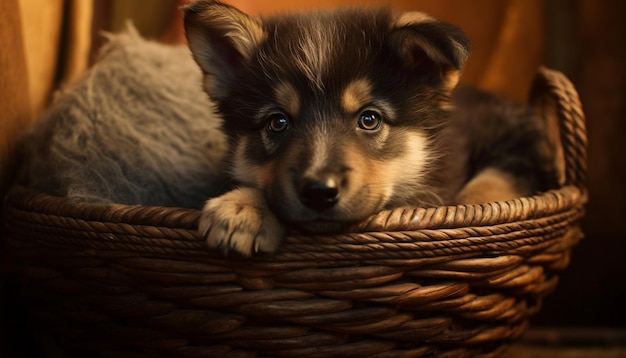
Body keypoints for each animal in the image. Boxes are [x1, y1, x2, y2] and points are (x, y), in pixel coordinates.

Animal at [183, 1, 560, 256]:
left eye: (369, 119)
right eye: (278, 122)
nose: (318, 192)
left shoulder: (517, 142)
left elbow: (492, 182)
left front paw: (471, 214)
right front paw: (244, 207)